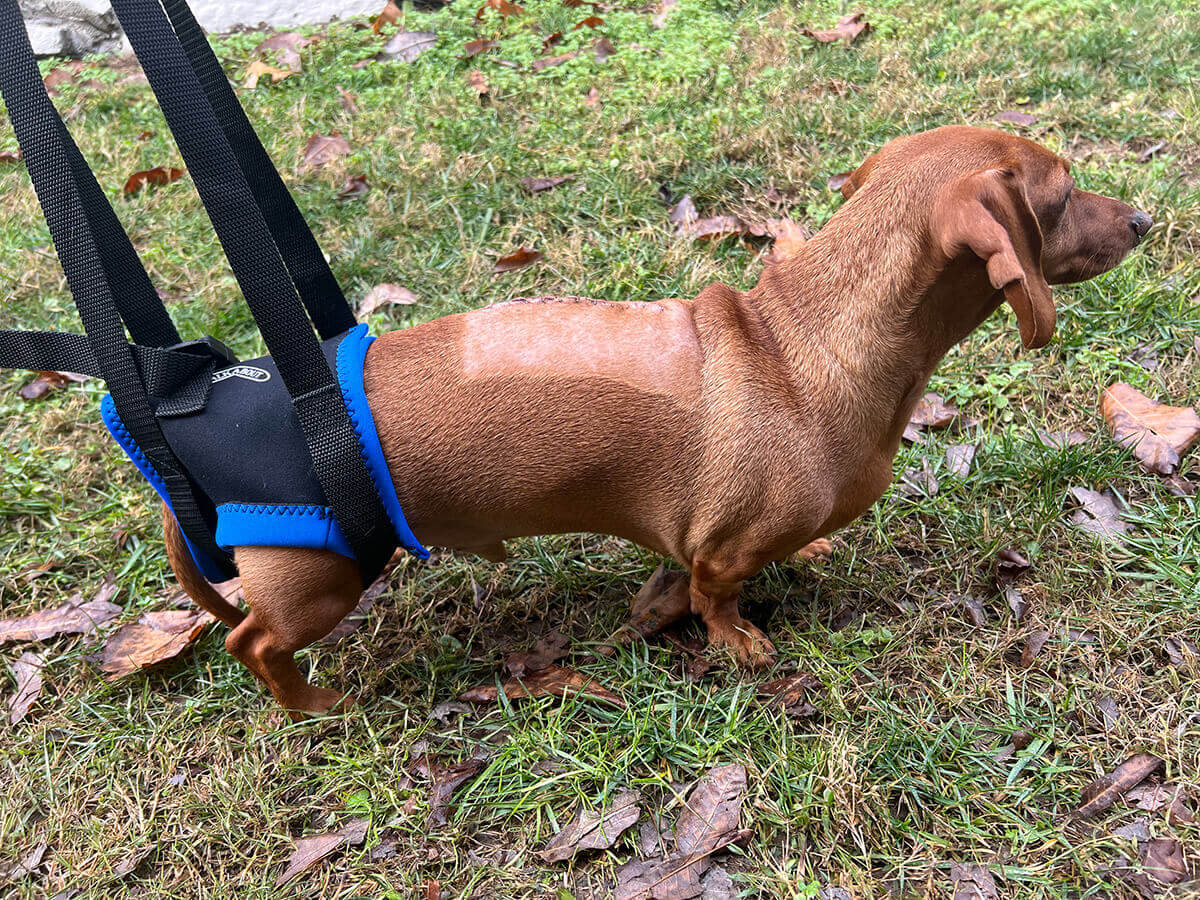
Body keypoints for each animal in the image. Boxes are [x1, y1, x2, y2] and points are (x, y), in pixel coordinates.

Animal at [164, 127, 1147, 720]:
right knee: (253, 640)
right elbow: (716, 595)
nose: (1143, 218)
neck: (804, 339)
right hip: (319, 578)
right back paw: (311, 706)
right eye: (1065, 194)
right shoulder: (722, 549)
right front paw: (738, 644)